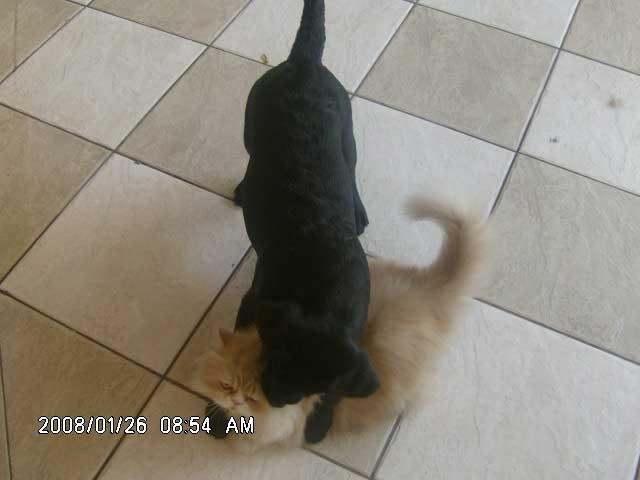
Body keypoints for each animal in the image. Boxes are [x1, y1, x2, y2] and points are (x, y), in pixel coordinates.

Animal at [232, 0, 378, 443]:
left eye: (315, 384)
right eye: (272, 353)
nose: (275, 398)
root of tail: (303, 63)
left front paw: (320, 422)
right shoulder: (254, 301)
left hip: (347, 131)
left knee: (350, 168)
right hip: (252, 121)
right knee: (250, 155)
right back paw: (244, 187)